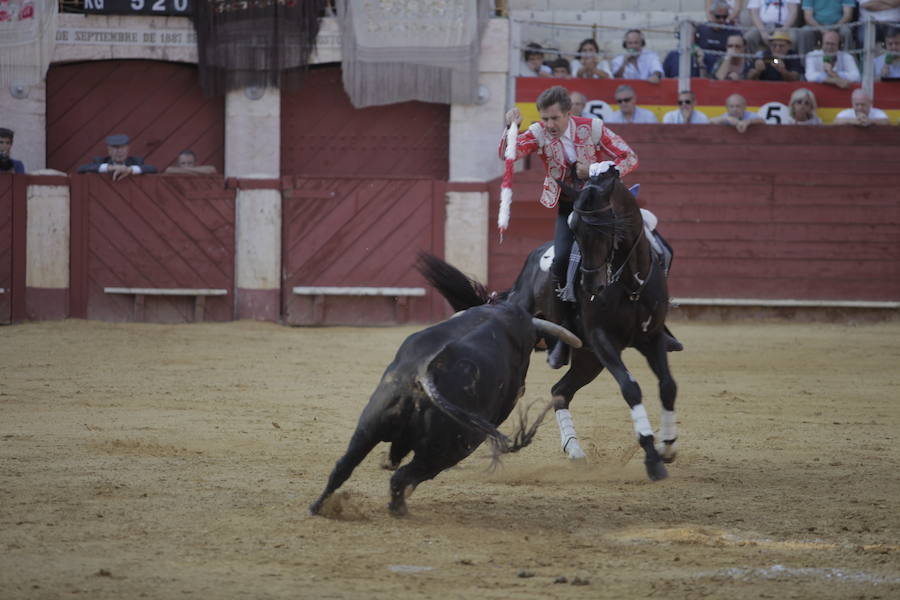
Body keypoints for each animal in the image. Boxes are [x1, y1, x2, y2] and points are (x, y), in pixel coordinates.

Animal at [306, 253, 580, 516]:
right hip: (449, 449)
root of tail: (423, 375)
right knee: (405, 477)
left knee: (344, 466)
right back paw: (398, 507)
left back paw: (319, 507)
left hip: (370, 425)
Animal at [510, 166, 680, 480]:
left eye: (608, 226)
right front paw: (652, 457)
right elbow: (631, 388)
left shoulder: (651, 338)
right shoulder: (602, 338)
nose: (591, 285)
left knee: (560, 392)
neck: (629, 283)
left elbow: (668, 385)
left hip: (589, 360)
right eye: (575, 229)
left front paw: (668, 446)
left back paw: (575, 451)